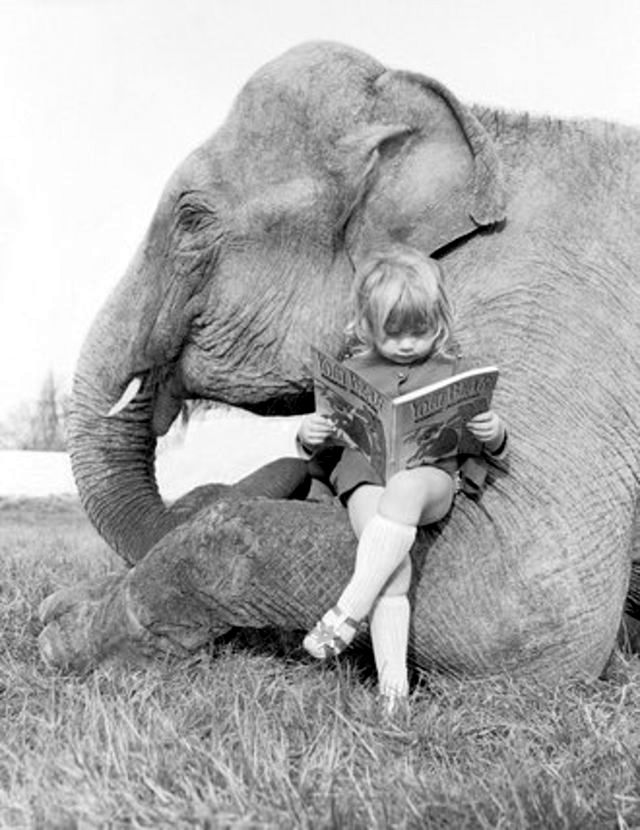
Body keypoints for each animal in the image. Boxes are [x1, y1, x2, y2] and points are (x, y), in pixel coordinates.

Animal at [38, 40, 640, 684]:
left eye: (192, 219)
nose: (51, 609)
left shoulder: (560, 309)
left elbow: (529, 607)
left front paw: (64, 635)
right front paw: (70, 603)